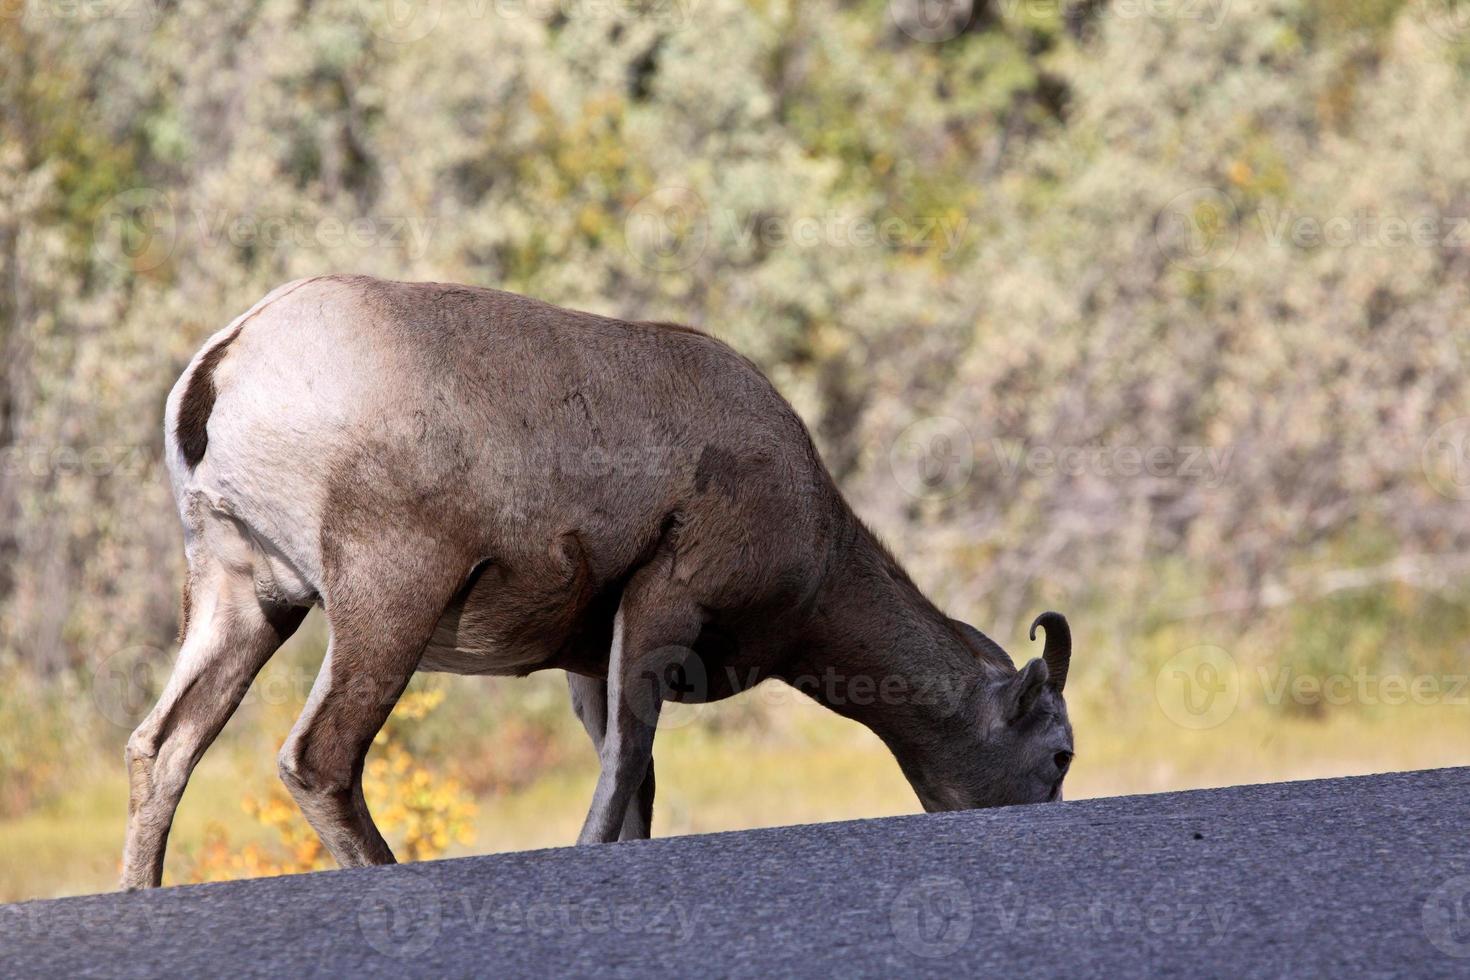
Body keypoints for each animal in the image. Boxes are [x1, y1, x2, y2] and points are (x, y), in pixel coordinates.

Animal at [120, 274, 1076, 887]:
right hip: (386, 599)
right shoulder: (664, 603)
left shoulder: (591, 662)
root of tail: (225, 365)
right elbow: (624, 769)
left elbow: (635, 779)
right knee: (320, 759)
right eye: (1061, 755)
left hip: (247, 598)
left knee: (162, 748)